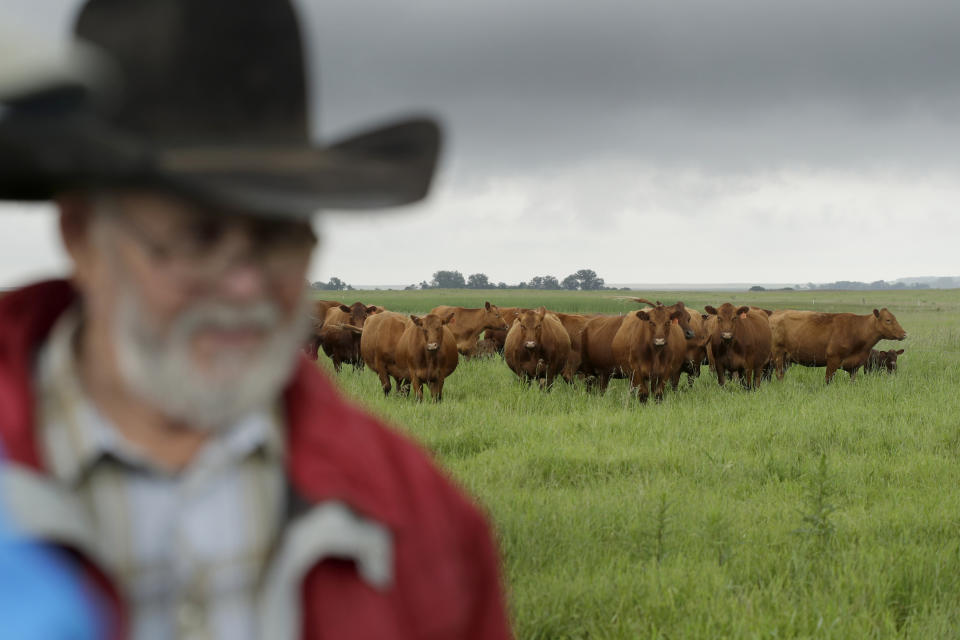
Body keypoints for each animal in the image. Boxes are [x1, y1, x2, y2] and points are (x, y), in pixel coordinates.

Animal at [768, 308, 904, 382]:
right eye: (888, 320)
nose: (904, 333)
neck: (856, 329)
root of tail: (774, 313)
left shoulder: (855, 366)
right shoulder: (833, 360)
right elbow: (828, 380)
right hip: (778, 355)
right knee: (779, 374)